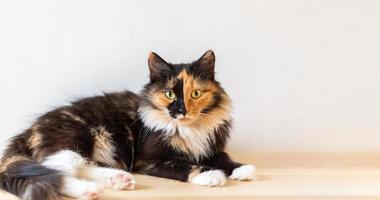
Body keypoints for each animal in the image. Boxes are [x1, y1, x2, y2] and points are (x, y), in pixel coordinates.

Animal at [0, 50, 255, 200]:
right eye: (170, 94)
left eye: (196, 93)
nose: (180, 111)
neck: (189, 128)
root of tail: (27, 132)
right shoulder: (150, 159)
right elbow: (185, 165)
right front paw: (211, 175)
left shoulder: (210, 148)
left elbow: (225, 159)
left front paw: (243, 170)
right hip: (73, 138)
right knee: (55, 171)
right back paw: (88, 190)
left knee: (79, 166)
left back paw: (118, 180)